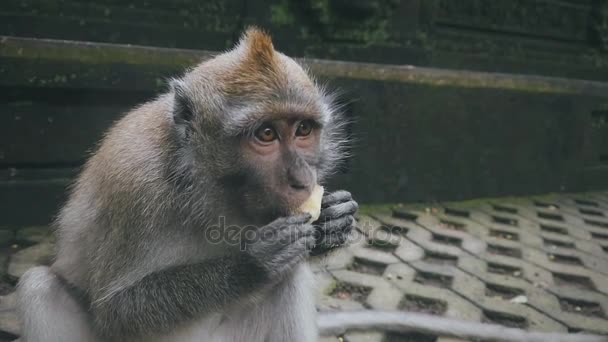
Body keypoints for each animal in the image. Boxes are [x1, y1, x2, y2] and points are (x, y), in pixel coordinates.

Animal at [15, 27, 356, 342]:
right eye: (267, 134)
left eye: (303, 130)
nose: (303, 180)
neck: (201, 179)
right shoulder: (133, 184)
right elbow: (115, 310)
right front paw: (252, 265)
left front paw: (332, 221)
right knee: (40, 288)